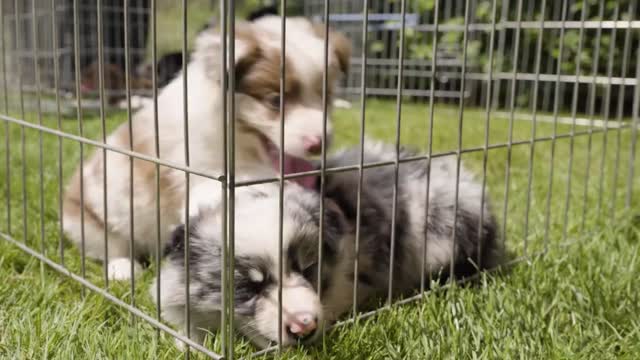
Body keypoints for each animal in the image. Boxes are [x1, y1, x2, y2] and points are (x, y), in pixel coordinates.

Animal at [63, 16, 352, 282]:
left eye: (327, 96)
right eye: (275, 100)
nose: (319, 142)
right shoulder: (203, 173)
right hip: (91, 219)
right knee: (112, 246)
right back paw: (123, 269)